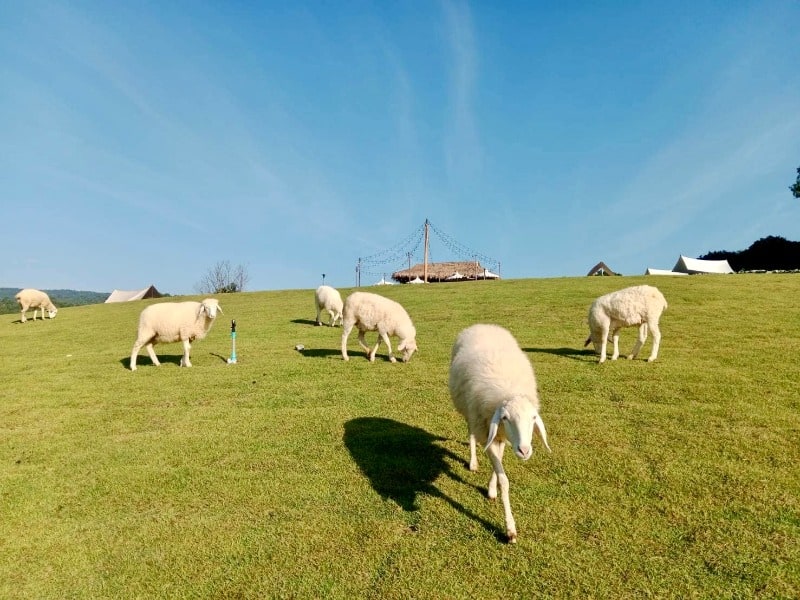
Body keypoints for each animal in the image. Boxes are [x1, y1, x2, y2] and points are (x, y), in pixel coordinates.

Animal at [446, 324, 552, 544]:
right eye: (505, 417)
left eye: (533, 418)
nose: (524, 450)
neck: (508, 391)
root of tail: (481, 324)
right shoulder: (487, 432)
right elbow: (505, 480)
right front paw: (510, 529)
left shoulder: (498, 436)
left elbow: (499, 463)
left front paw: (491, 489)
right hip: (470, 414)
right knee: (471, 434)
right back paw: (473, 462)